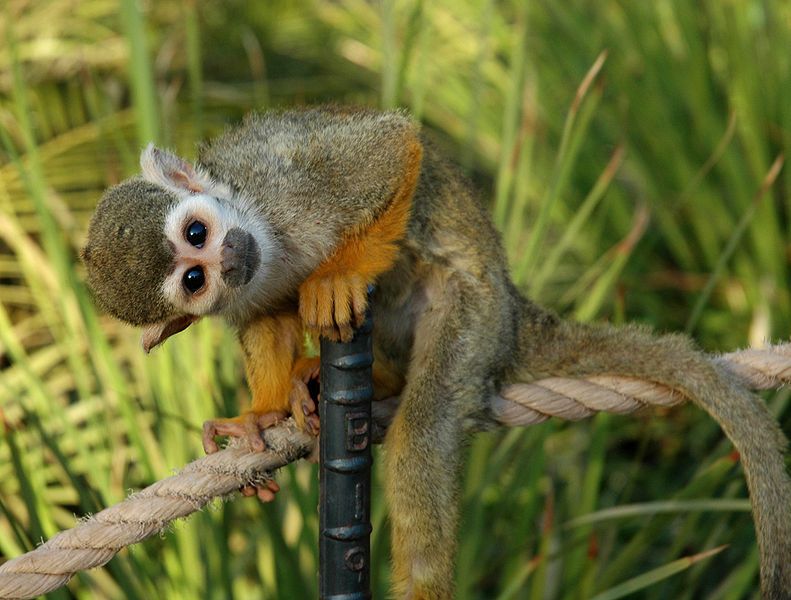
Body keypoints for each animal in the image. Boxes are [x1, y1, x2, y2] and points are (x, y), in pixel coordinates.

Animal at [81, 107, 791, 599]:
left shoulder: (281, 190)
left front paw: (340, 276)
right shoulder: (246, 285)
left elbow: (393, 147)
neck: (263, 236)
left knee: (423, 432)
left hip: (473, 315)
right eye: (192, 280)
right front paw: (262, 410)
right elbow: (262, 317)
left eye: (198, 233)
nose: (228, 260)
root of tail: (512, 311)